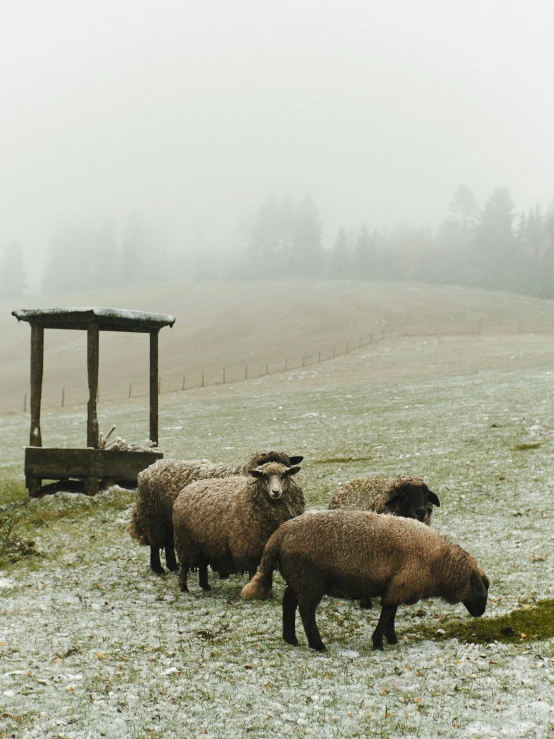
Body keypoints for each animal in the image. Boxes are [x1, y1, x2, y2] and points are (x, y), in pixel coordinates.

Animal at [242, 508, 488, 652]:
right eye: (481, 591)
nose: (481, 613)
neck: (439, 563)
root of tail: (280, 534)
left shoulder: (396, 585)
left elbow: (392, 613)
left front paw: (391, 638)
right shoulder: (403, 583)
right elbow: (388, 612)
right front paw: (378, 642)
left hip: (298, 579)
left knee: (288, 602)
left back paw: (291, 639)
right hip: (310, 580)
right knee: (306, 611)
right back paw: (317, 645)